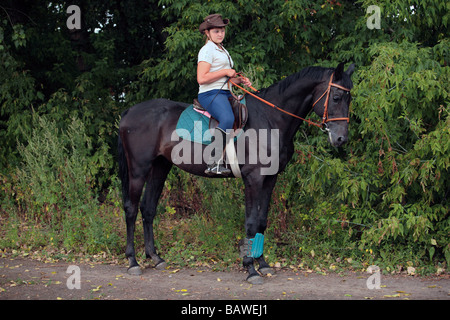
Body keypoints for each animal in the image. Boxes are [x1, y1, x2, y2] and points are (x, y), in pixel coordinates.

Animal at [118, 63, 356, 284]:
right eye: (336, 97)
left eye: (349, 98)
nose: (341, 139)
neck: (271, 119)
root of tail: (130, 111)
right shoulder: (253, 179)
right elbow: (250, 223)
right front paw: (250, 269)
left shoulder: (270, 179)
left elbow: (261, 221)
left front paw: (263, 264)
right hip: (139, 169)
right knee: (131, 209)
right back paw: (133, 261)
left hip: (160, 167)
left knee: (148, 209)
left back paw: (155, 257)